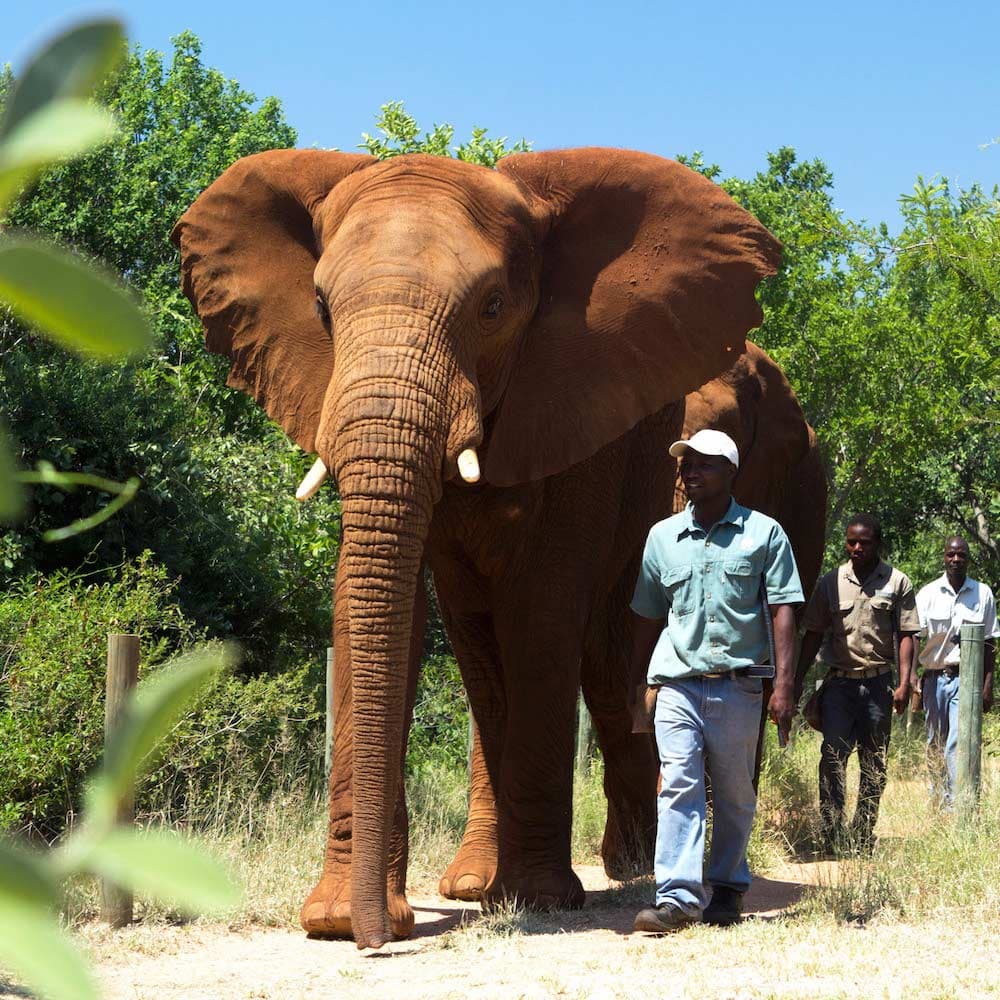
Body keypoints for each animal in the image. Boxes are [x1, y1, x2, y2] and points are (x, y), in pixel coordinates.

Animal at [172, 146, 824, 949]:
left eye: (492, 309)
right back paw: (486, 885)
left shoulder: (581, 409)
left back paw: (633, 871)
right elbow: (384, 609)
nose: (376, 939)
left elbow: (539, 612)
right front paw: (333, 920)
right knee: (507, 654)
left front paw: (539, 900)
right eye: (322, 309)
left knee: (608, 656)